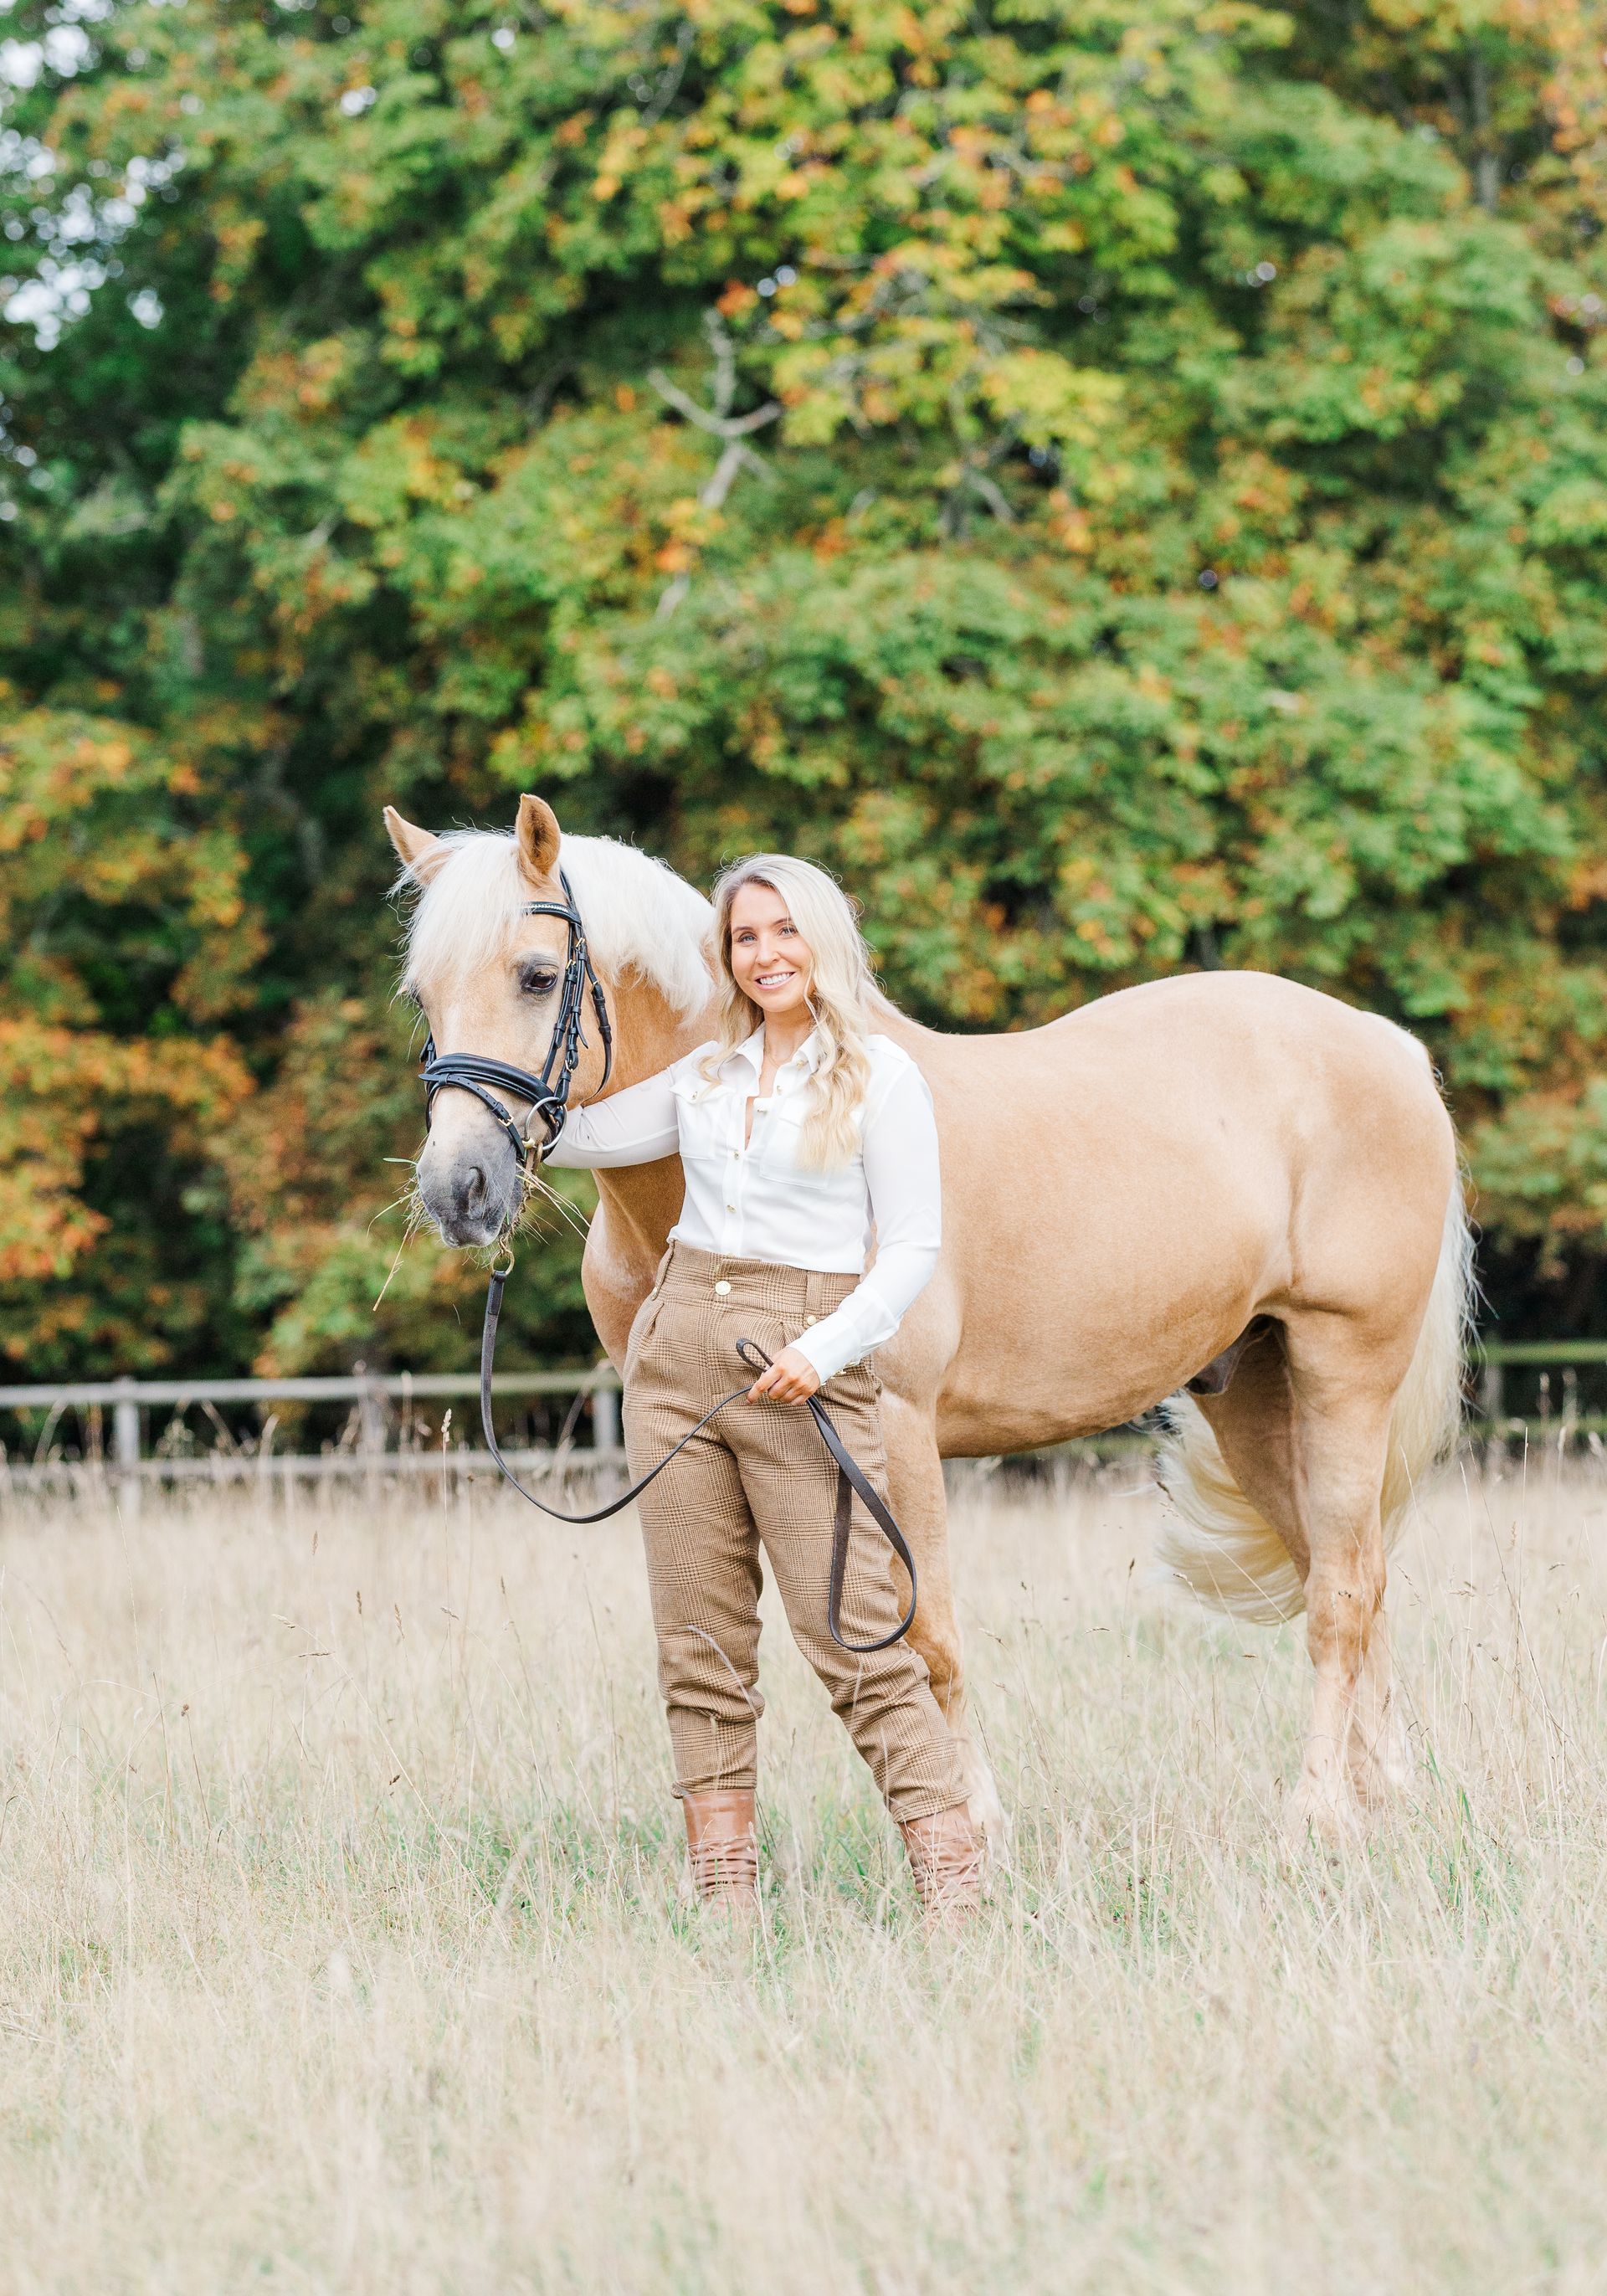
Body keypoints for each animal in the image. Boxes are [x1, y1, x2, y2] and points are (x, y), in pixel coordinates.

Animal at [385, 792, 1471, 1842]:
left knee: (1342, 1592)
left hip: (1343, 1372)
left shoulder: (895, 1431)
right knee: (1349, 1573)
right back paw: (1387, 1795)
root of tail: (1388, 1047)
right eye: (422, 995)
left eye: (535, 976)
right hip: (1256, 1395)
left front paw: (973, 1823)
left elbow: (925, 1634)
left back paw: (1321, 1812)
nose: (457, 1189)